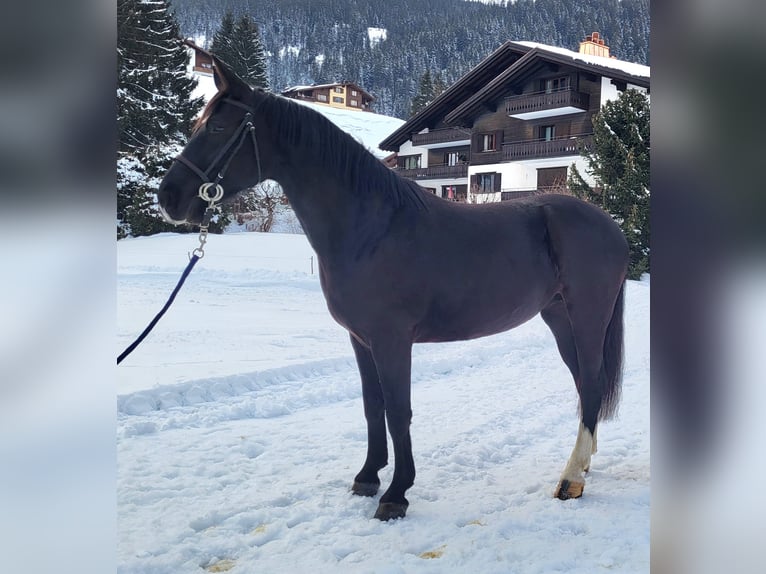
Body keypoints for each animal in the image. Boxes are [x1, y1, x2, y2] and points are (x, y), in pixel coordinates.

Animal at [158, 60, 632, 524]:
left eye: (217, 128)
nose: (169, 197)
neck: (372, 229)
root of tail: (609, 226)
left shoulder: (392, 339)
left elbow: (398, 410)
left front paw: (397, 494)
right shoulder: (361, 339)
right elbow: (374, 407)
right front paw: (368, 477)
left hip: (586, 316)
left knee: (591, 385)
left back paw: (571, 480)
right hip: (559, 317)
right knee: (583, 384)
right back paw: (584, 463)